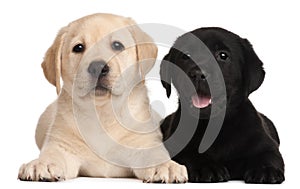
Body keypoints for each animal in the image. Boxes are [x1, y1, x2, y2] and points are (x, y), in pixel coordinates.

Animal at [17, 13, 188, 183]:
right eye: (78, 47)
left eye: (117, 45)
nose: (98, 67)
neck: (103, 113)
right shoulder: (61, 144)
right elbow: (53, 154)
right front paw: (42, 163)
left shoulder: (144, 143)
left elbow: (156, 155)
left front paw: (166, 166)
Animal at [159, 27, 284, 184]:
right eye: (186, 55)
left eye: (223, 55)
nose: (198, 74)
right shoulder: (177, 147)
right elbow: (190, 155)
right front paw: (207, 167)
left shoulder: (267, 144)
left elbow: (268, 155)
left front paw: (265, 170)